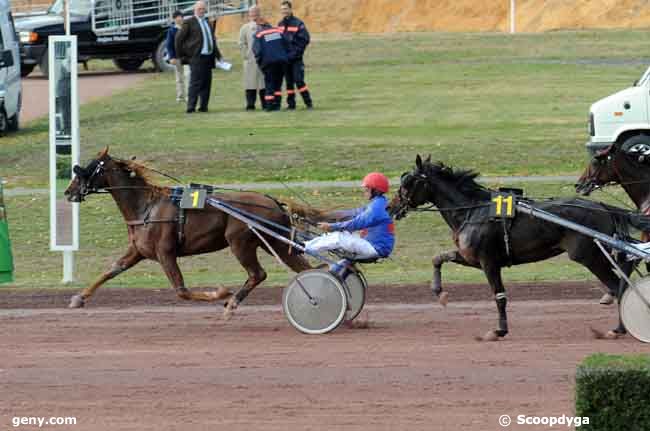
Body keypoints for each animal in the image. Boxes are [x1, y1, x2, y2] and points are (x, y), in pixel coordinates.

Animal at [64, 148, 310, 318]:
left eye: (89, 168)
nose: (68, 191)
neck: (147, 207)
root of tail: (274, 202)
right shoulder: (137, 251)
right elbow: (111, 270)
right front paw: (79, 298)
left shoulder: (165, 253)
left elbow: (181, 290)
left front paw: (221, 293)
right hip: (275, 243)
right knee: (304, 268)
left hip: (240, 242)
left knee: (257, 274)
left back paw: (232, 303)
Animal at [390, 154, 644, 340]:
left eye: (408, 182)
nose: (391, 207)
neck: (473, 210)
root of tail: (603, 207)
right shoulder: (470, 257)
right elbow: (438, 258)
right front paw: (439, 292)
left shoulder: (488, 261)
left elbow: (499, 295)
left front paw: (499, 330)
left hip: (589, 256)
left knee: (618, 286)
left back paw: (620, 328)